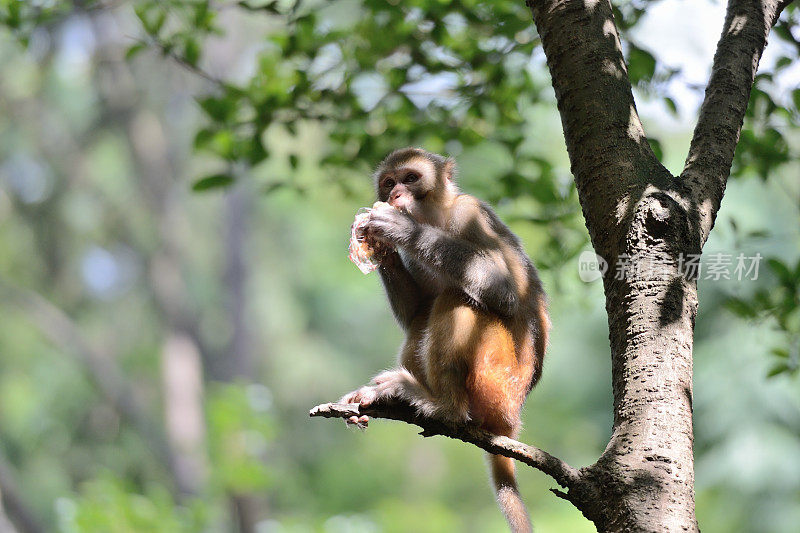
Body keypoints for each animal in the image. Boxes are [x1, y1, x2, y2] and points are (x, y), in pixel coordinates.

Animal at [340, 147, 548, 532]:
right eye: (388, 183)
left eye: (410, 178)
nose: (395, 195)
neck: (435, 216)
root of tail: (513, 420)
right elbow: (415, 311)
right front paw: (380, 243)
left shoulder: (471, 215)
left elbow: (504, 292)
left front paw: (400, 228)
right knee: (425, 316)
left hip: (497, 383)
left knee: (457, 298)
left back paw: (442, 406)